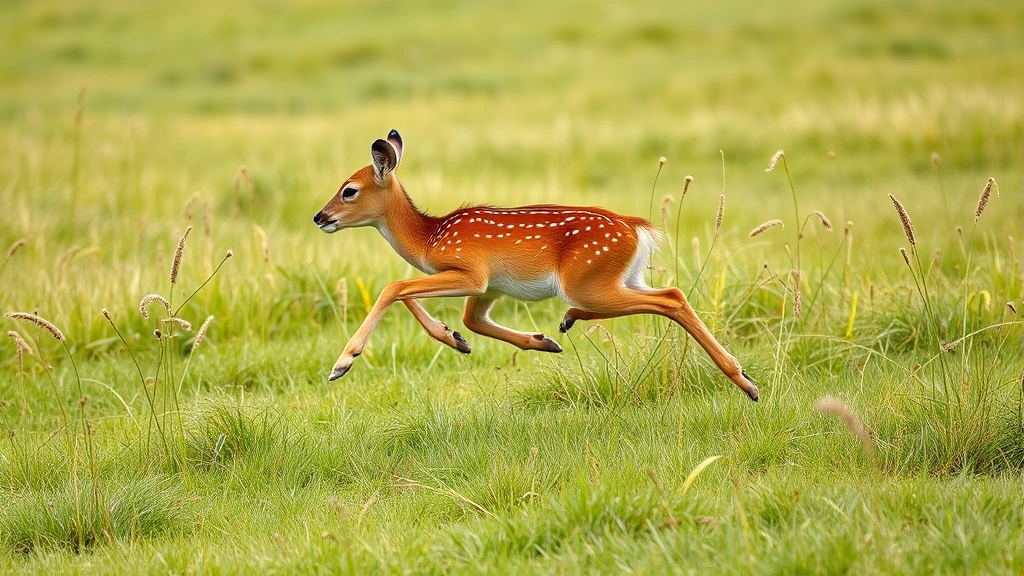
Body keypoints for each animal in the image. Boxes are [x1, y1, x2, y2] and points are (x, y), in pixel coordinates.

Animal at [313, 130, 759, 401]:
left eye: (349, 190)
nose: (320, 216)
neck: (429, 238)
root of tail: (637, 228)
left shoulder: (472, 272)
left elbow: (395, 287)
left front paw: (343, 363)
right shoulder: (490, 288)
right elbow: (471, 320)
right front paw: (466, 339)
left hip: (588, 278)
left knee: (671, 298)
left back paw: (744, 382)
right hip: (621, 278)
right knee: (668, 293)